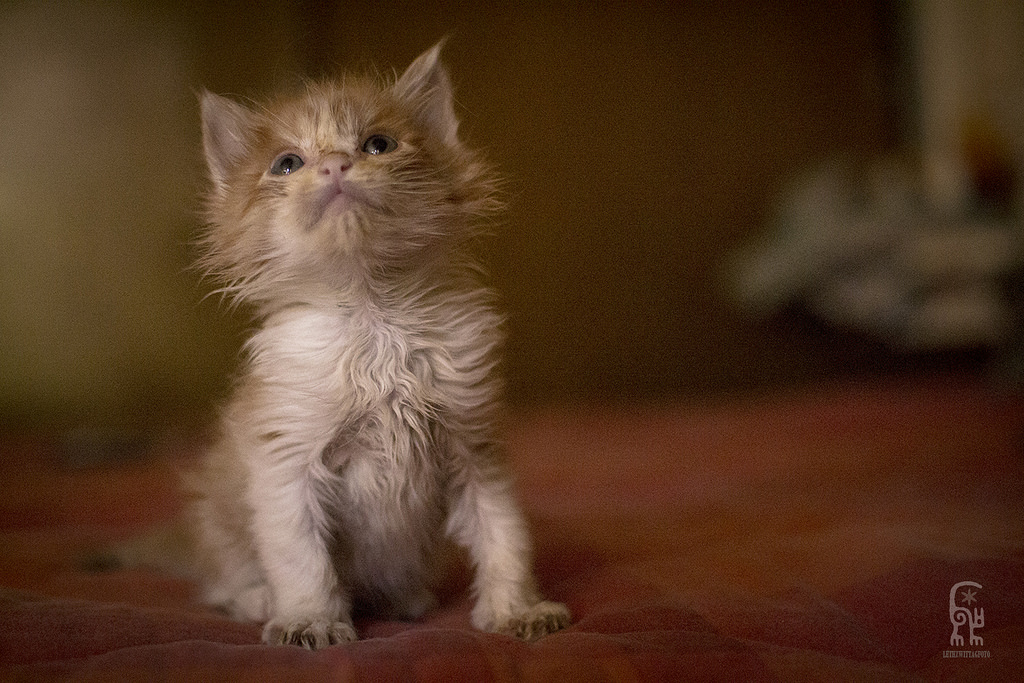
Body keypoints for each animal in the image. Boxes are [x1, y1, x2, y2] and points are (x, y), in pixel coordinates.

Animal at [189, 40, 573, 651]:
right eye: (287, 163)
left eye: (378, 145)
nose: (334, 165)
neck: (377, 321)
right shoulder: (286, 463)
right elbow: (300, 557)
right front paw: (310, 621)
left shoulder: (477, 449)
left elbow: (506, 537)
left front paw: (518, 610)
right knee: (224, 584)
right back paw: (259, 601)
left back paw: (406, 600)